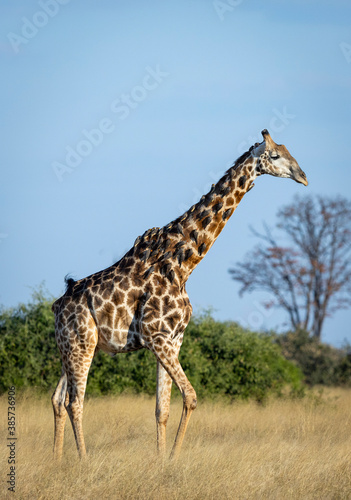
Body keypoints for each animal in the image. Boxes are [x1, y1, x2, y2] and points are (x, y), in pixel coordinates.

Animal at [51, 129, 308, 460]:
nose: (303, 177)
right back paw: (83, 460)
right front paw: (173, 458)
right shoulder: (157, 336)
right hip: (81, 343)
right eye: (275, 155)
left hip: (71, 348)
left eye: (289, 151)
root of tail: (58, 306)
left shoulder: (174, 339)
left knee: (58, 399)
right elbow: (191, 396)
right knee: (75, 402)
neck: (183, 265)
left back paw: (58, 460)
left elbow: (162, 409)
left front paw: (162, 462)